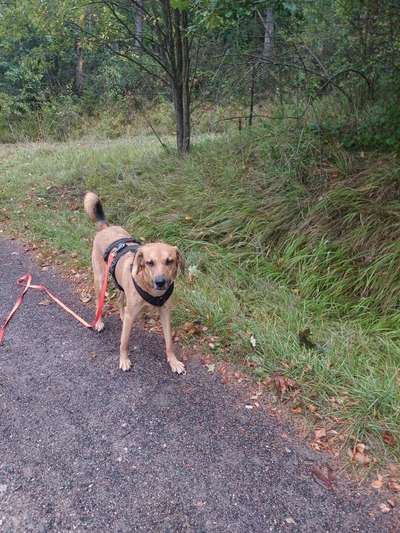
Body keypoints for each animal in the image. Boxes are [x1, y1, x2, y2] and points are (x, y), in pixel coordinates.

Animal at [84, 192, 186, 374]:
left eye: (169, 261)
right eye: (149, 262)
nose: (160, 282)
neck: (151, 289)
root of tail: (106, 227)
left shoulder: (165, 312)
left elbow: (169, 342)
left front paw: (173, 361)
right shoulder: (132, 315)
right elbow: (124, 342)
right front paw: (124, 360)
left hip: (120, 283)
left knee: (120, 299)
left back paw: (121, 314)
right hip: (100, 279)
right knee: (98, 302)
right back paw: (99, 321)